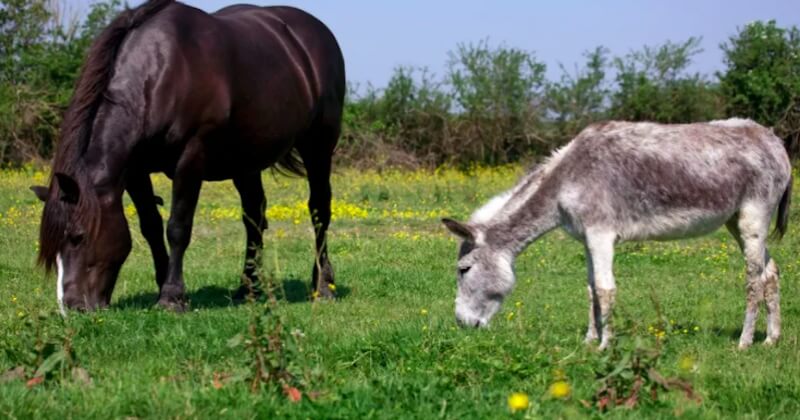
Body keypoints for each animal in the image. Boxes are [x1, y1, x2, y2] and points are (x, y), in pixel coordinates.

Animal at [29, 0, 344, 312]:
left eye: (78, 236)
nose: (71, 307)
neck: (160, 73)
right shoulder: (135, 171)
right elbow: (151, 226)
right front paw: (164, 285)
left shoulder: (191, 158)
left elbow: (177, 227)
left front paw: (172, 297)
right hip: (245, 161)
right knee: (254, 215)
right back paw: (248, 288)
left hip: (318, 145)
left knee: (319, 210)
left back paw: (321, 286)